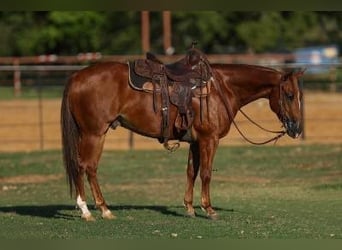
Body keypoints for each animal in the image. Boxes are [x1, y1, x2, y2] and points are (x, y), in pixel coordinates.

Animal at [59, 60, 304, 221]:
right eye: (290, 95)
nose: (297, 128)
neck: (221, 89)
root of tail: (76, 76)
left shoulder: (195, 141)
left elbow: (191, 172)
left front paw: (189, 208)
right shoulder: (209, 139)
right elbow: (206, 173)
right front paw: (209, 209)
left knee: (87, 167)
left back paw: (99, 209)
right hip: (94, 133)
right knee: (86, 166)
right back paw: (91, 210)